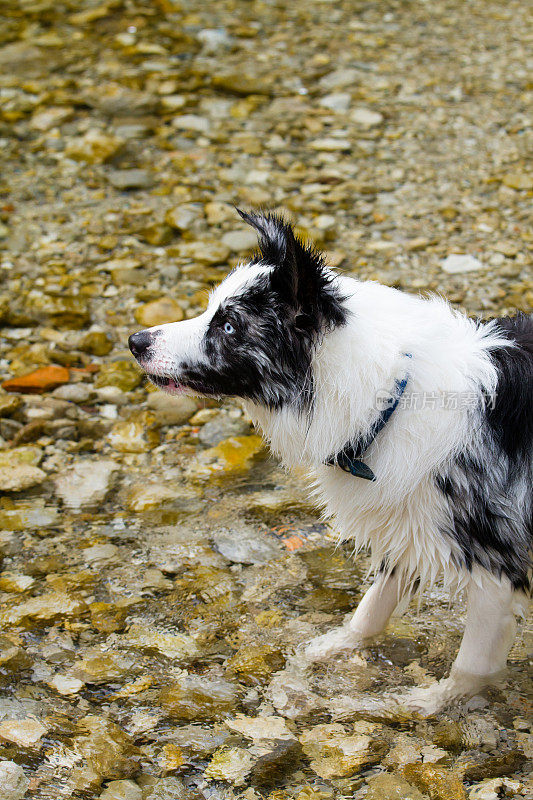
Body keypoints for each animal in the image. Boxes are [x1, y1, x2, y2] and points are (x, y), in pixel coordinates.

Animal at [130, 209, 532, 716]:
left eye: (229, 325)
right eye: (210, 311)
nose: (135, 340)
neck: (389, 397)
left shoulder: (495, 566)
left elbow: (472, 666)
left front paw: (428, 705)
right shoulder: (404, 523)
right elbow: (370, 611)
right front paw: (329, 649)